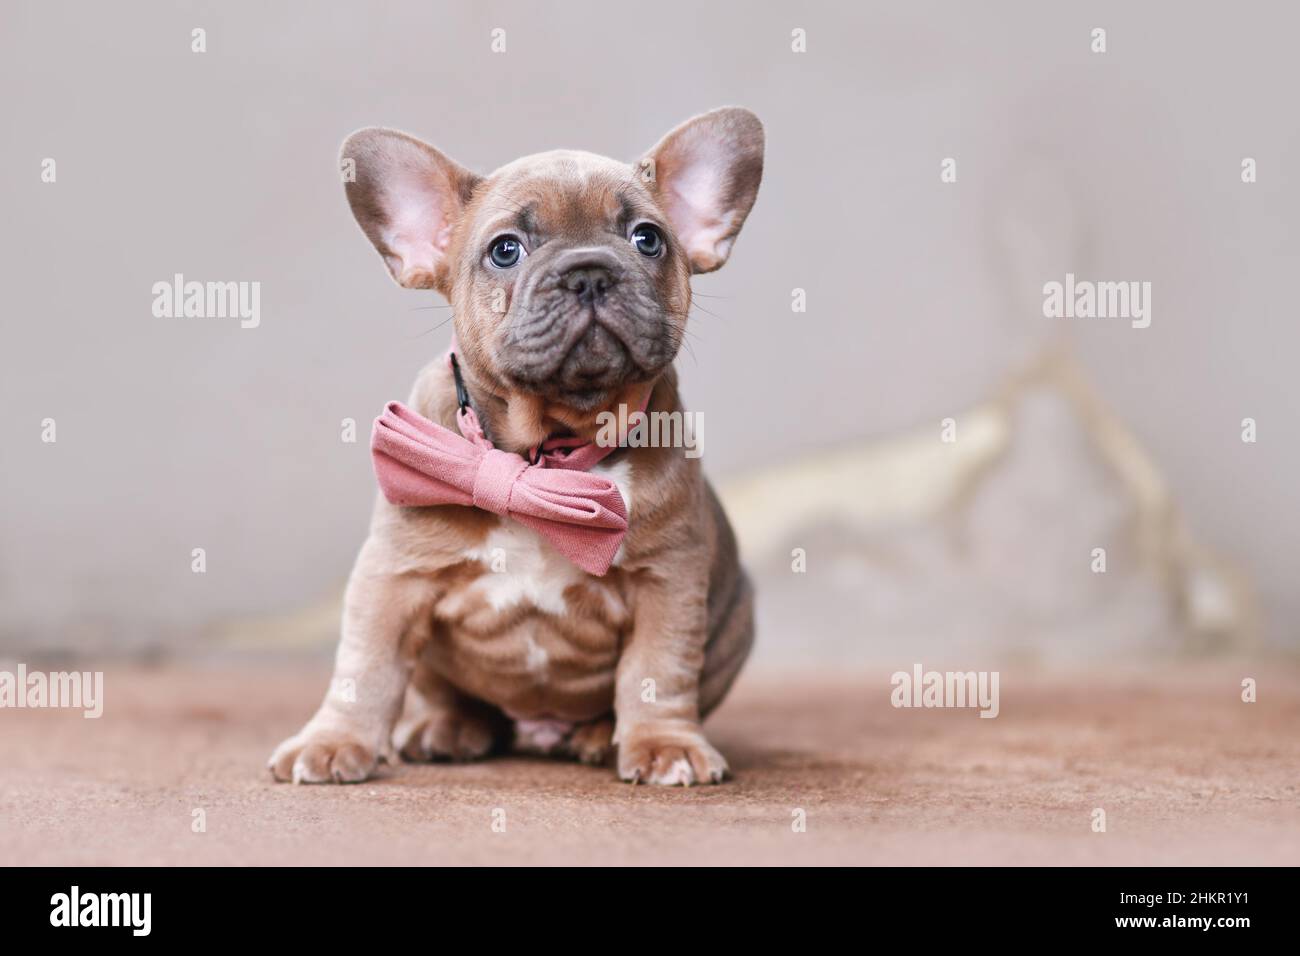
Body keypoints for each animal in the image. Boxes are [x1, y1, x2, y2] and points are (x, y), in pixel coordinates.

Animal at [270, 108, 764, 790]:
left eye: (648, 239)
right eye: (506, 250)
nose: (589, 270)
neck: (543, 456)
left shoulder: (668, 580)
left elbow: (656, 671)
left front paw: (665, 744)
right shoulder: (392, 577)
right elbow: (364, 668)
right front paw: (334, 740)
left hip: (735, 623)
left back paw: (596, 736)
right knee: (444, 695)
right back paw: (447, 728)